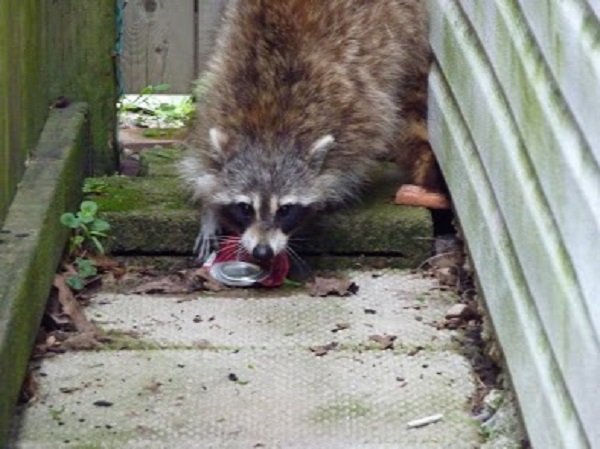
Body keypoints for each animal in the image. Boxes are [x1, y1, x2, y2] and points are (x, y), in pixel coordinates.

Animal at [178, 0, 440, 262]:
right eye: (245, 208)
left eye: (285, 210)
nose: (262, 252)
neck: (269, 130)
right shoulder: (217, 100)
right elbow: (202, 165)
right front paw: (209, 208)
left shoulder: (357, 116)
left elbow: (349, 163)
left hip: (405, 32)